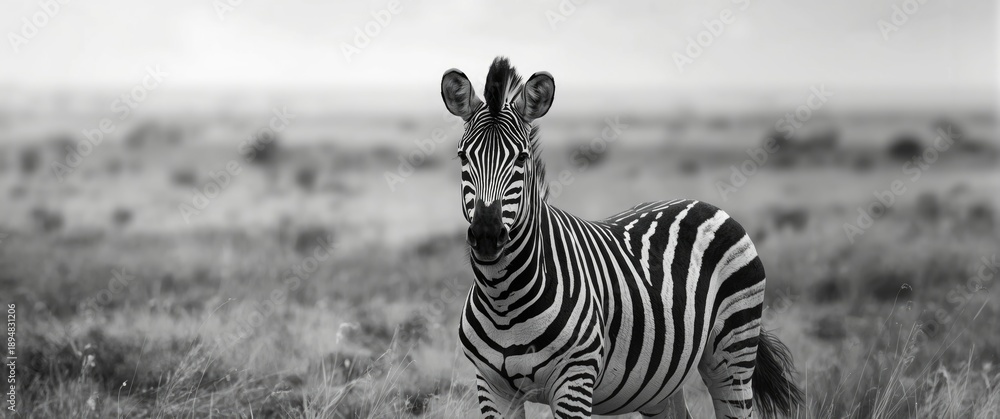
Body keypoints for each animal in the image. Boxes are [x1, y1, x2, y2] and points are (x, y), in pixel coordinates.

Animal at [443, 57, 803, 419]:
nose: (487, 236)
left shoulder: (574, 381)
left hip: (733, 352)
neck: (503, 300)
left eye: (521, 157)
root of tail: (705, 204)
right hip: (662, 380)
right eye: (462, 157)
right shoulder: (492, 388)